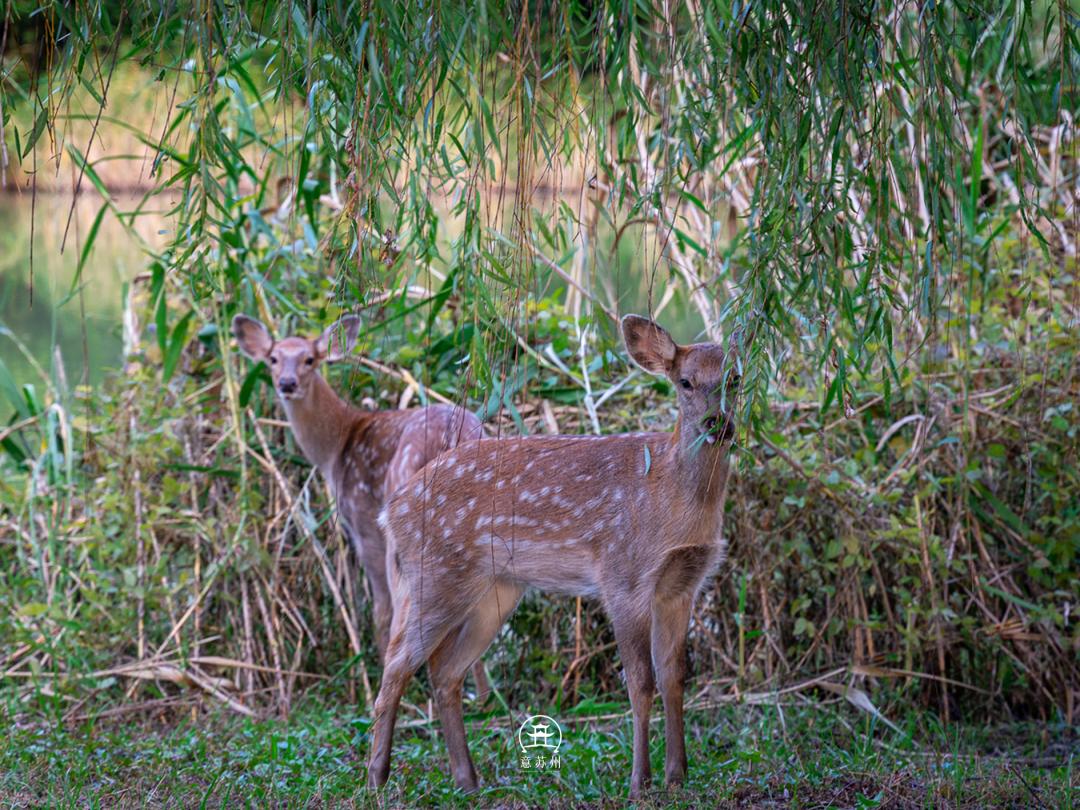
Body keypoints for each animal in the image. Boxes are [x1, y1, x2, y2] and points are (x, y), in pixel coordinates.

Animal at [232, 314, 491, 698]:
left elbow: (379, 606)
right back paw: (482, 695)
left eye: (310, 359)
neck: (337, 448)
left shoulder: (364, 522)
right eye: (273, 358)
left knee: (403, 605)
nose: (287, 383)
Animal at [366, 315, 741, 798]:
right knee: (397, 665)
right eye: (685, 382)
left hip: (497, 591)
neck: (673, 498)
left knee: (444, 671)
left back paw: (467, 780)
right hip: (437, 573)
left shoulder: (682, 584)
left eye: (735, 379)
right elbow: (641, 682)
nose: (718, 423)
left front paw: (678, 776)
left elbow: (674, 676)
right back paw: (377, 778)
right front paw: (640, 782)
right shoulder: (624, 575)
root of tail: (390, 510)